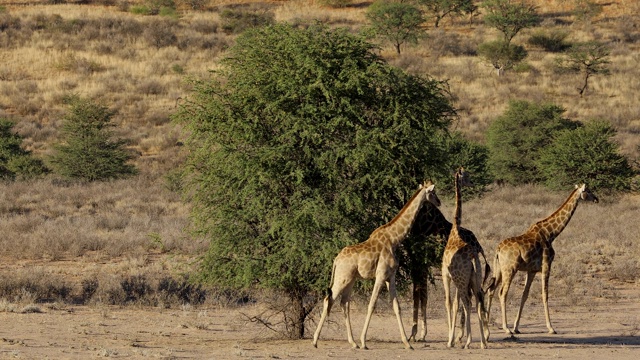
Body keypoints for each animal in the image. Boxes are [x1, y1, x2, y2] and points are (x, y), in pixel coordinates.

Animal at [312, 180, 442, 348]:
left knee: (343, 303)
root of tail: (336, 259)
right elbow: (372, 304)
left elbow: (396, 306)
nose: (439, 202)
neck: (395, 238)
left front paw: (407, 343)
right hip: (342, 278)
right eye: (432, 192)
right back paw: (315, 341)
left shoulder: (390, 276)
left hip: (351, 279)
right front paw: (364, 341)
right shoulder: (380, 275)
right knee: (329, 299)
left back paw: (352, 342)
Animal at [440, 168, 490, 348]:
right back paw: (482, 342)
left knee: (467, 302)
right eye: (466, 176)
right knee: (477, 302)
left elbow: (449, 303)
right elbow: (456, 304)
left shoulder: (446, 276)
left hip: (461, 280)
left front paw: (450, 340)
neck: (455, 230)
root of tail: (473, 257)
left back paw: (468, 342)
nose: (472, 183)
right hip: (474, 279)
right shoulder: (459, 279)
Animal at [488, 184, 596, 336]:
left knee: (491, 290)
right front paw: (551, 328)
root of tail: (498, 250)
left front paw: (516, 327)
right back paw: (506, 328)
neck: (551, 233)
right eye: (588, 191)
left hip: (498, 270)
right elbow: (545, 294)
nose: (596, 199)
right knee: (502, 293)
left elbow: (525, 295)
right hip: (510, 269)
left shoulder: (532, 270)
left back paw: (487, 325)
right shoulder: (546, 265)